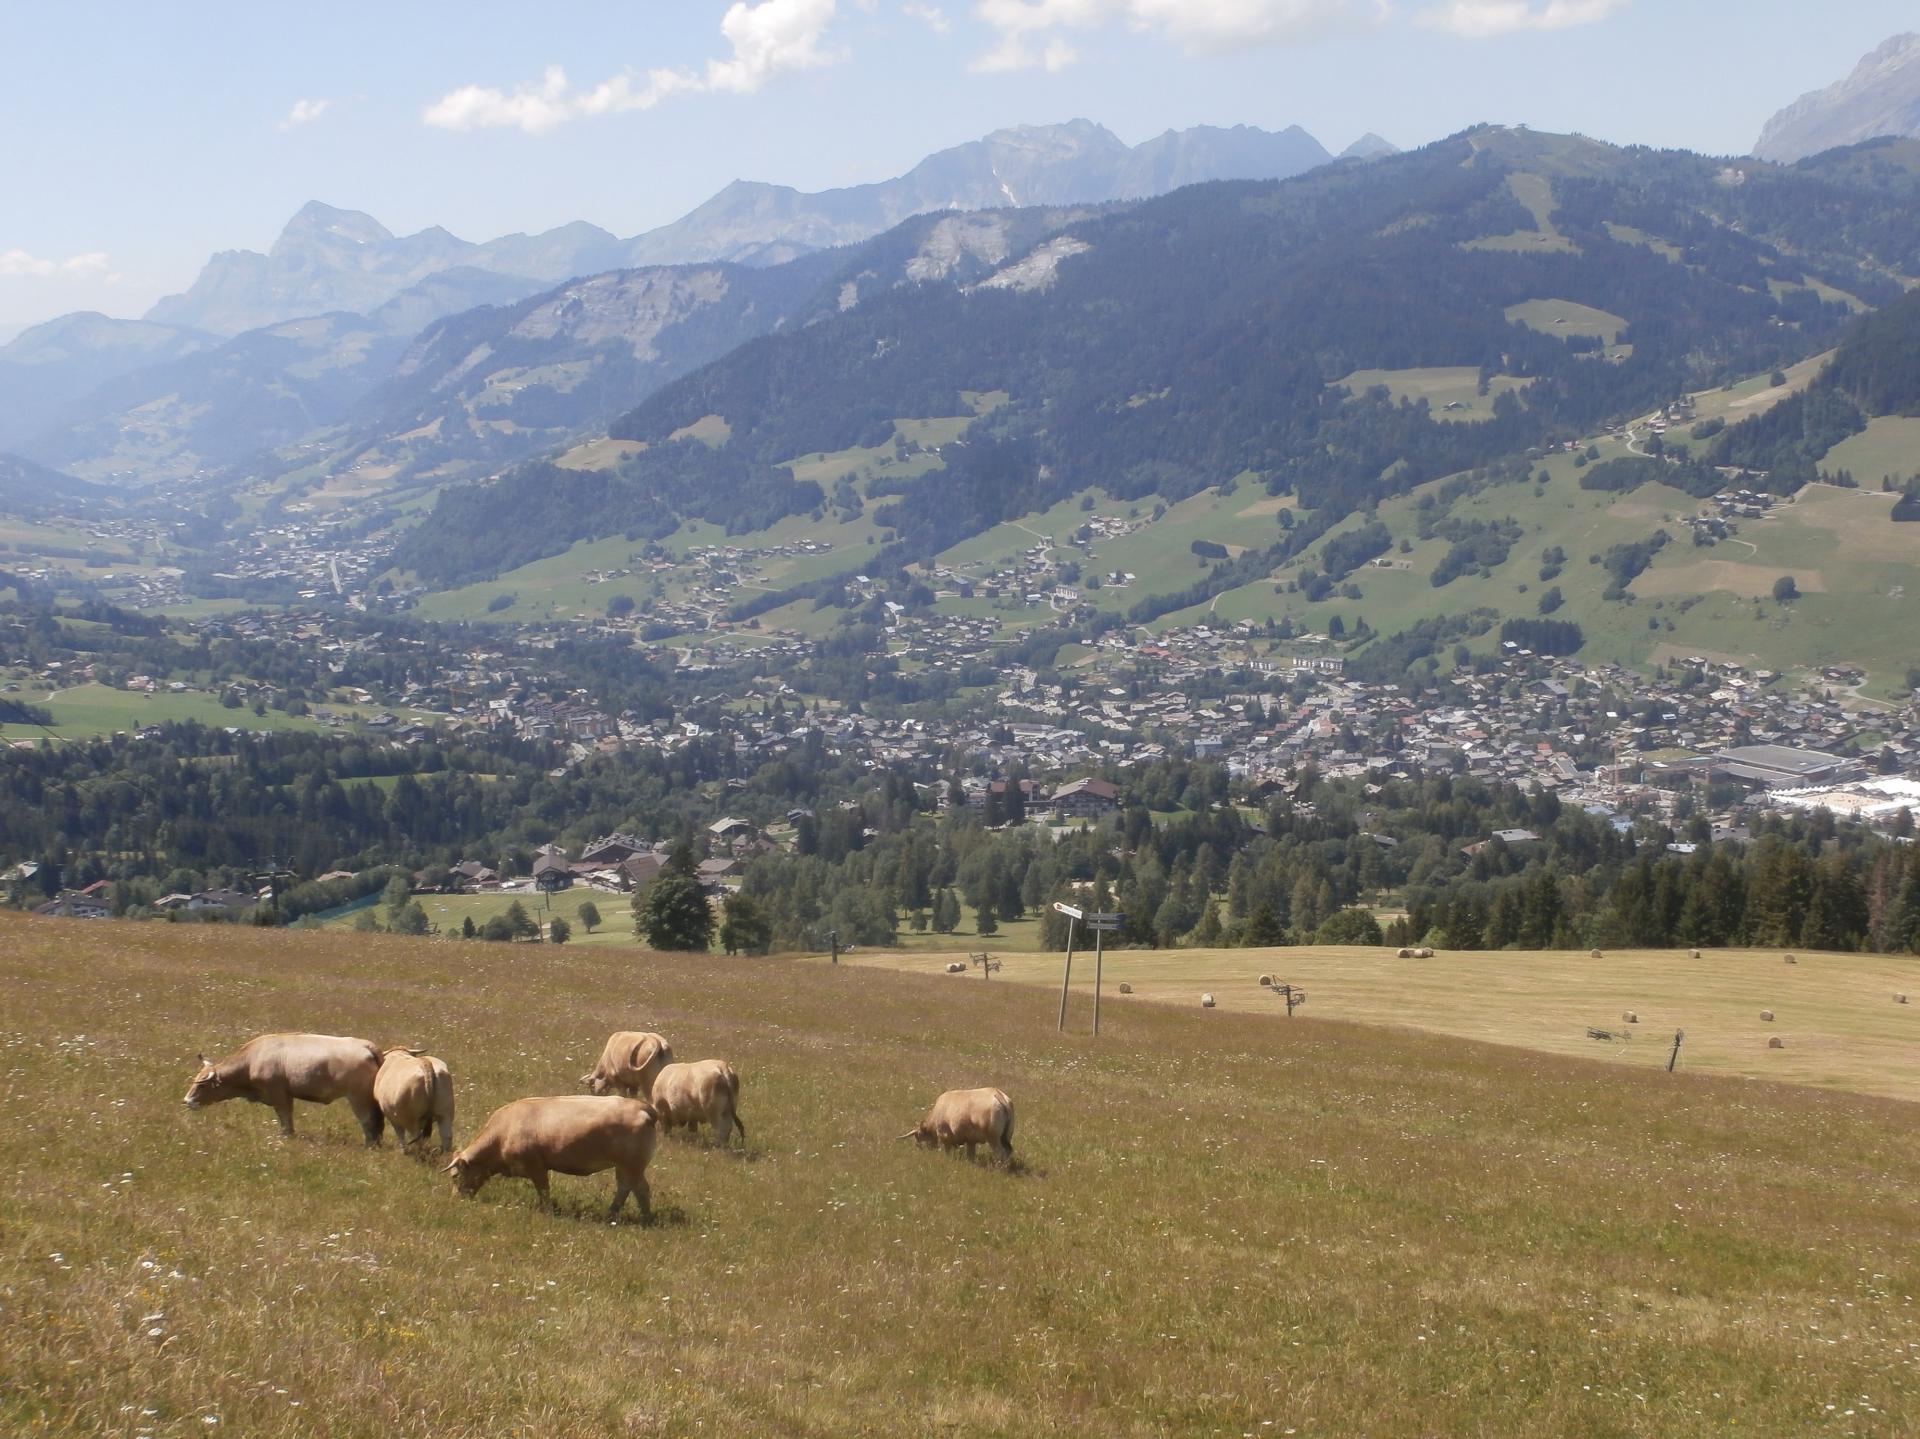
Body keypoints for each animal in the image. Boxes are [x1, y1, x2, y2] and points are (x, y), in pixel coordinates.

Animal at [183, 1029, 385, 1145]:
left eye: (202, 1085)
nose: (186, 1101)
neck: (252, 1059)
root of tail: (365, 1045)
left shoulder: (278, 1094)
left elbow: (285, 1118)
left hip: (357, 1097)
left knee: (368, 1120)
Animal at [443, 1091, 660, 1221]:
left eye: (455, 1175)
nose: (455, 1200)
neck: (502, 1133)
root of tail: (642, 1106)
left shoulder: (536, 1167)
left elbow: (544, 1191)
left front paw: (547, 1212)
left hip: (631, 1164)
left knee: (636, 1189)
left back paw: (635, 1217)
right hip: (625, 1166)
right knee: (629, 1188)